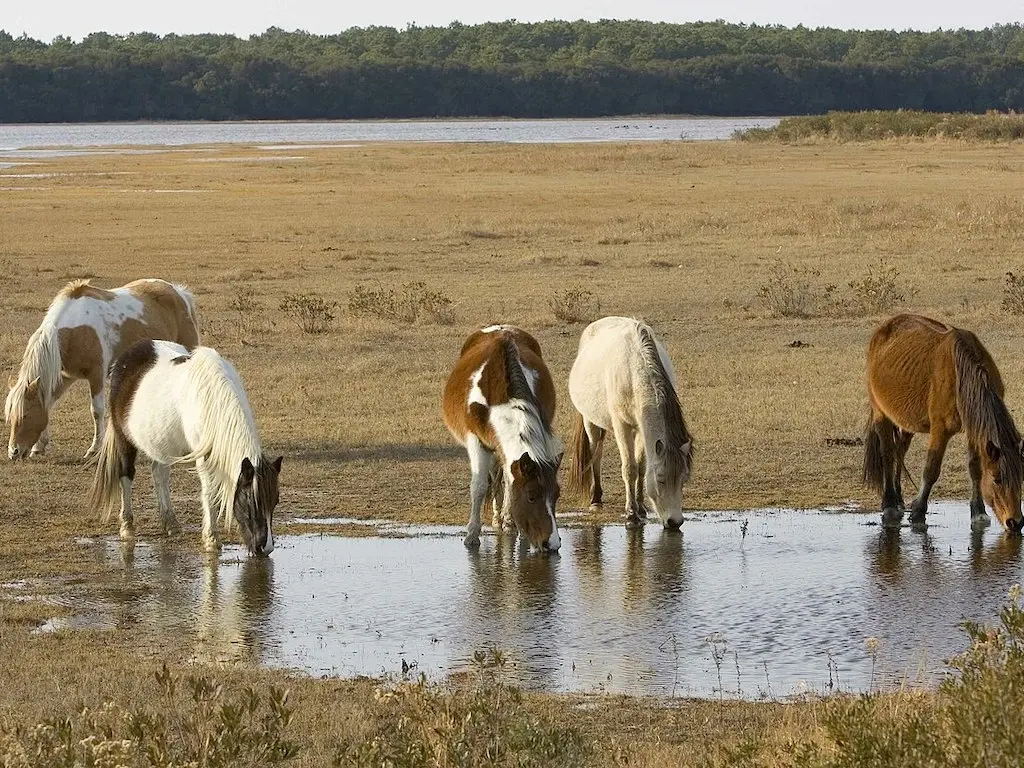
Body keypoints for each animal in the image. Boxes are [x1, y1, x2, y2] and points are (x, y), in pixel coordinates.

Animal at [4, 280, 198, 460]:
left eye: (25, 415)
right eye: (10, 416)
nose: (13, 452)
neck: (75, 331)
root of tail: (179, 293)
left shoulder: (96, 375)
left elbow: (96, 411)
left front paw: (94, 449)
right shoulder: (65, 377)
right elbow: (48, 404)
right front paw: (39, 447)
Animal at [88, 342, 278, 552]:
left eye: (275, 501)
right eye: (252, 501)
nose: (265, 547)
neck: (212, 397)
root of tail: (123, 359)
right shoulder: (204, 457)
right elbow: (209, 492)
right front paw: (211, 539)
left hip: (160, 443)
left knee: (159, 476)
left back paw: (170, 523)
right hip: (124, 439)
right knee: (126, 475)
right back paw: (127, 527)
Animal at [442, 325, 565, 552]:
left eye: (557, 495)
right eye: (531, 495)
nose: (551, 543)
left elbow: (510, 481)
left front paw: (512, 523)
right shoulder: (476, 441)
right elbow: (479, 486)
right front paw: (472, 534)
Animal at [569, 317, 696, 528]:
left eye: (683, 479)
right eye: (661, 479)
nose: (675, 522)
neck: (633, 370)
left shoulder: (642, 428)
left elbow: (642, 466)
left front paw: (641, 507)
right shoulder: (623, 427)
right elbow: (630, 469)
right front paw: (631, 513)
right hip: (590, 422)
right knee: (596, 454)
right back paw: (596, 499)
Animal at [864, 313, 1024, 536]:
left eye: (1021, 478)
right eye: (997, 478)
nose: (1015, 522)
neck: (961, 377)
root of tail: (883, 330)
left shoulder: (973, 429)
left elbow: (975, 468)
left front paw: (978, 512)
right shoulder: (940, 430)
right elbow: (931, 469)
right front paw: (918, 512)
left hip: (906, 422)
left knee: (899, 451)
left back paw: (899, 500)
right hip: (881, 414)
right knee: (887, 453)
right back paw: (889, 504)